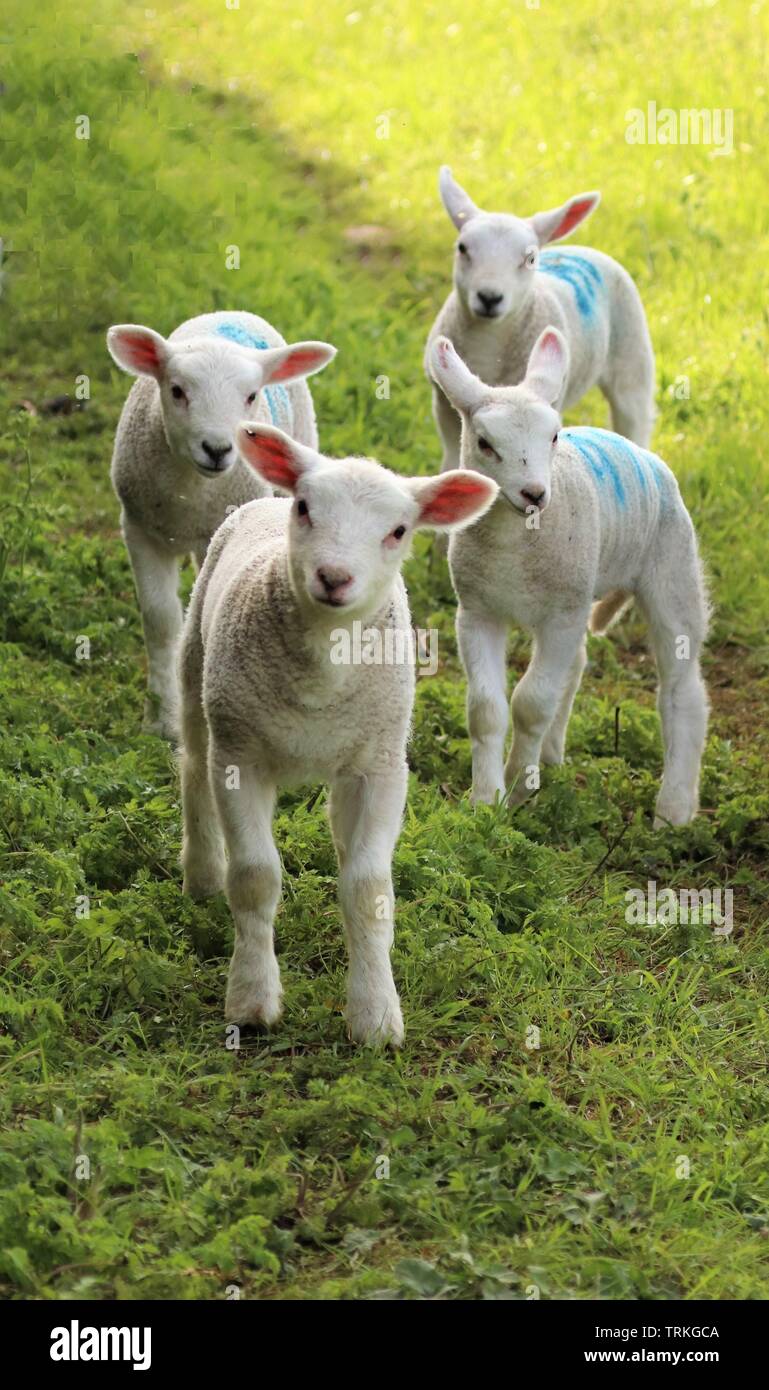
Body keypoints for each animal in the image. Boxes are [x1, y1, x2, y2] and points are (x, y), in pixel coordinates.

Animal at [107, 311, 337, 738]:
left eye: (250, 397)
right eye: (177, 391)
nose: (217, 449)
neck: (189, 489)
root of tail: (231, 314)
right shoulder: (139, 528)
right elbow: (160, 619)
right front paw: (160, 719)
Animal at [177, 423, 497, 1044]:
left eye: (398, 531)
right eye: (306, 508)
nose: (333, 577)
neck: (323, 669)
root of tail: (263, 499)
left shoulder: (381, 766)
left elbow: (368, 890)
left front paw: (375, 1015)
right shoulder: (240, 756)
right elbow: (254, 877)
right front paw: (251, 999)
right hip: (197, 670)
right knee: (192, 766)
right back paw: (201, 873)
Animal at [425, 167, 656, 473]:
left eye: (530, 258)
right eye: (462, 248)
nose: (489, 297)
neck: (488, 342)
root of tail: (582, 248)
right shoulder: (444, 405)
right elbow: (453, 457)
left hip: (632, 358)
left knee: (634, 419)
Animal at [429, 329, 709, 828]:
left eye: (554, 436)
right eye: (484, 443)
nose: (535, 493)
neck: (514, 546)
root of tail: (641, 452)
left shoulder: (560, 615)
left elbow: (530, 703)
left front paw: (518, 787)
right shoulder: (477, 612)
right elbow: (486, 710)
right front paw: (485, 800)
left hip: (670, 564)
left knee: (681, 690)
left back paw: (672, 813)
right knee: (576, 665)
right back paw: (553, 755)